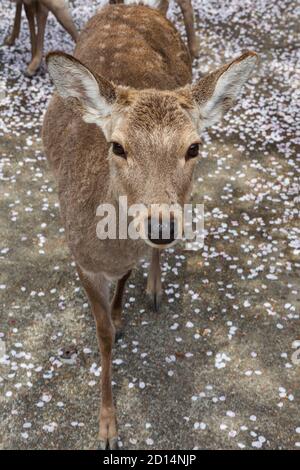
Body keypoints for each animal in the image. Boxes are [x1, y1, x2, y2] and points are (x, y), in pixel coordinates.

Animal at [42, 4, 258, 452]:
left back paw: (155, 290)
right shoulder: (81, 260)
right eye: (117, 146)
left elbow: (125, 282)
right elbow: (103, 334)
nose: (160, 226)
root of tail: (140, 7)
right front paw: (107, 427)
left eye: (193, 146)